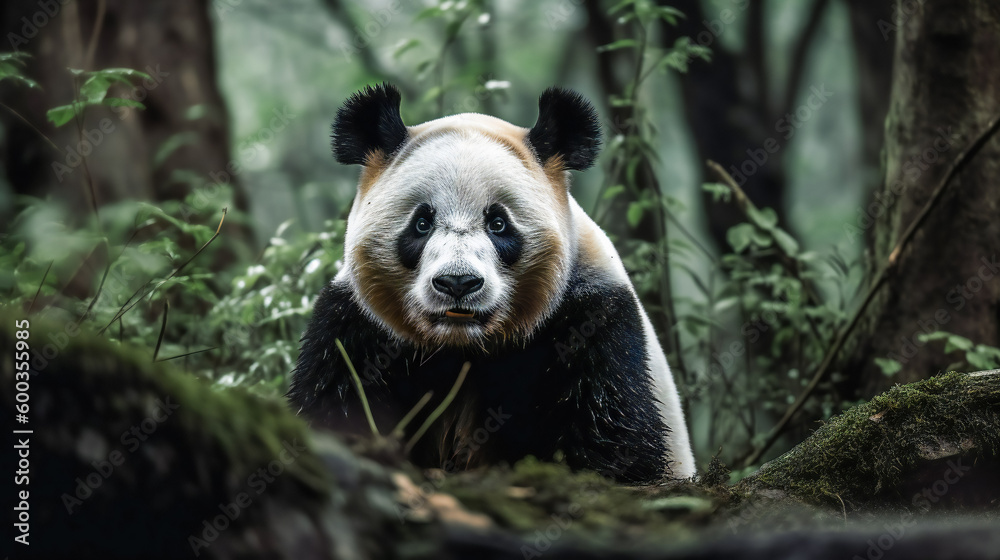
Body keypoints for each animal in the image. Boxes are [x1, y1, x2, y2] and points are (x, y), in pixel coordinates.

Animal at [288, 83, 695, 482]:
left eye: (498, 223)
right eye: (422, 223)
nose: (457, 283)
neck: (462, 346)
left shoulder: (594, 316)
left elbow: (612, 434)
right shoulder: (356, 325)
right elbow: (332, 403)